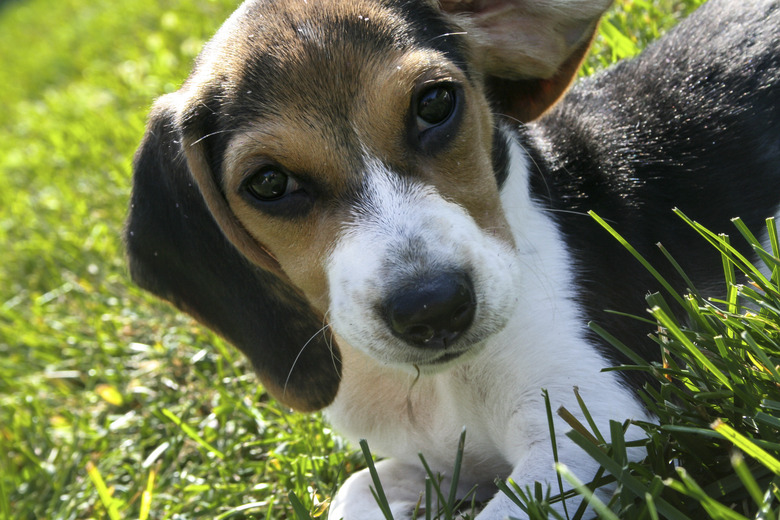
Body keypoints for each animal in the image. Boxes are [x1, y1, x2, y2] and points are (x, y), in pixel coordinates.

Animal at [125, 0, 780, 516]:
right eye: (267, 183)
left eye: (436, 103)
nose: (433, 308)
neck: (439, 386)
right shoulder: (443, 461)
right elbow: (353, 492)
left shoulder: (589, 427)